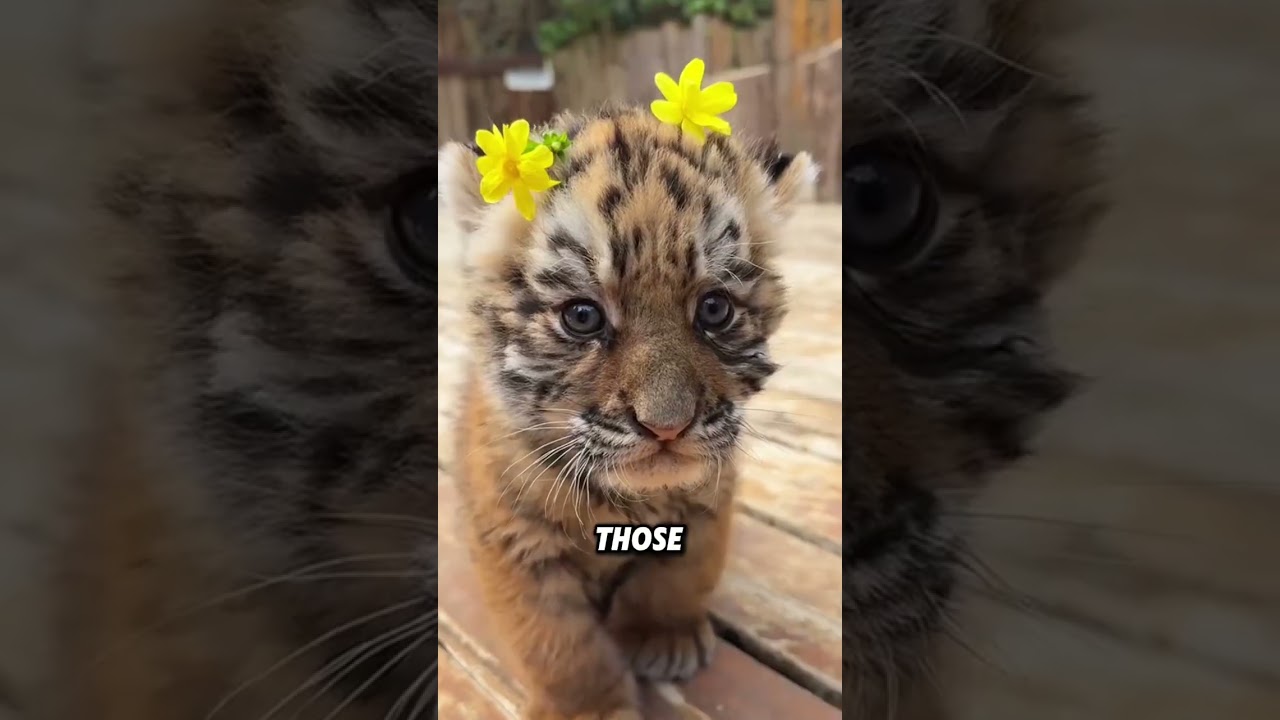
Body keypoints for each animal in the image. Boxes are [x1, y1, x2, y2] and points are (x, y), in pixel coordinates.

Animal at [438, 105, 815, 720]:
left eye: (715, 309)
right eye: (582, 317)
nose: (667, 425)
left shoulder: (711, 498)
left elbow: (680, 576)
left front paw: (664, 640)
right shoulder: (513, 540)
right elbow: (555, 640)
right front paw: (586, 708)